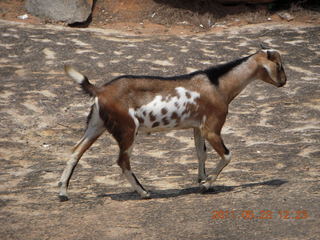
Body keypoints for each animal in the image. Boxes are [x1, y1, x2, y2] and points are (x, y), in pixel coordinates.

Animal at [58, 47, 288, 201]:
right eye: (279, 65)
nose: (284, 81)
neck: (218, 85)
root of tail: (100, 90)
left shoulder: (197, 127)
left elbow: (201, 153)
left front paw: (201, 180)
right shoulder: (212, 128)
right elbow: (227, 155)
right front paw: (206, 185)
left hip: (96, 125)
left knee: (75, 152)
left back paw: (62, 192)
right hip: (127, 129)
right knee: (122, 161)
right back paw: (144, 192)